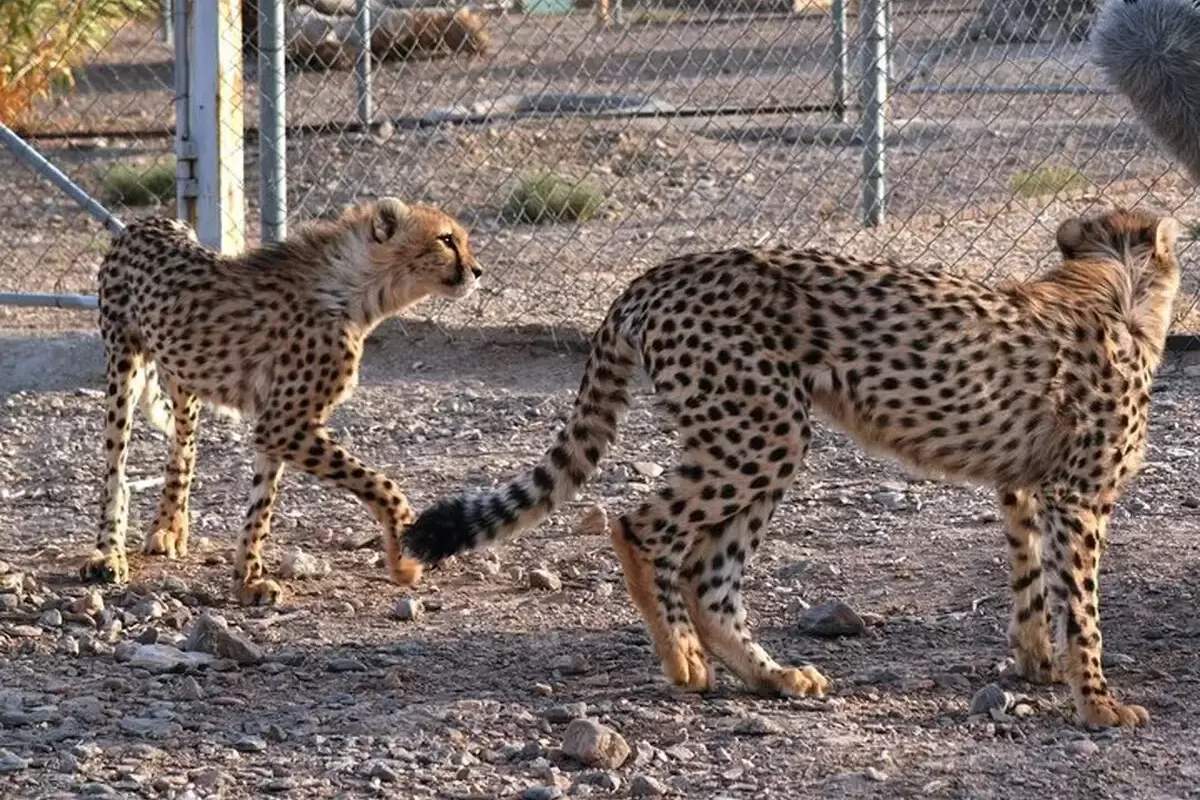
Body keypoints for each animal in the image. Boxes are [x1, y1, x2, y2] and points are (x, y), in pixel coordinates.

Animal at [82, 196, 482, 604]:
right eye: (446, 239)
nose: (477, 271)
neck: (355, 287)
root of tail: (146, 222)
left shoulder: (277, 425)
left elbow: (262, 505)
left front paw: (247, 579)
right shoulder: (283, 424)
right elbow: (383, 484)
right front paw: (405, 558)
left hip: (183, 377)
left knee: (183, 449)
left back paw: (168, 528)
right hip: (123, 366)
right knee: (116, 467)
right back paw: (107, 554)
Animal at [403, 208, 1180, 734]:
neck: (1113, 279)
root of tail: (656, 274)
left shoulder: (1022, 487)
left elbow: (1030, 584)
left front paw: (1035, 664)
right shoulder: (1079, 498)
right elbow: (1082, 608)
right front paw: (1098, 701)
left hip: (758, 436)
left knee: (707, 572)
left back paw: (770, 676)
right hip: (762, 431)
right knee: (641, 526)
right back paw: (684, 660)